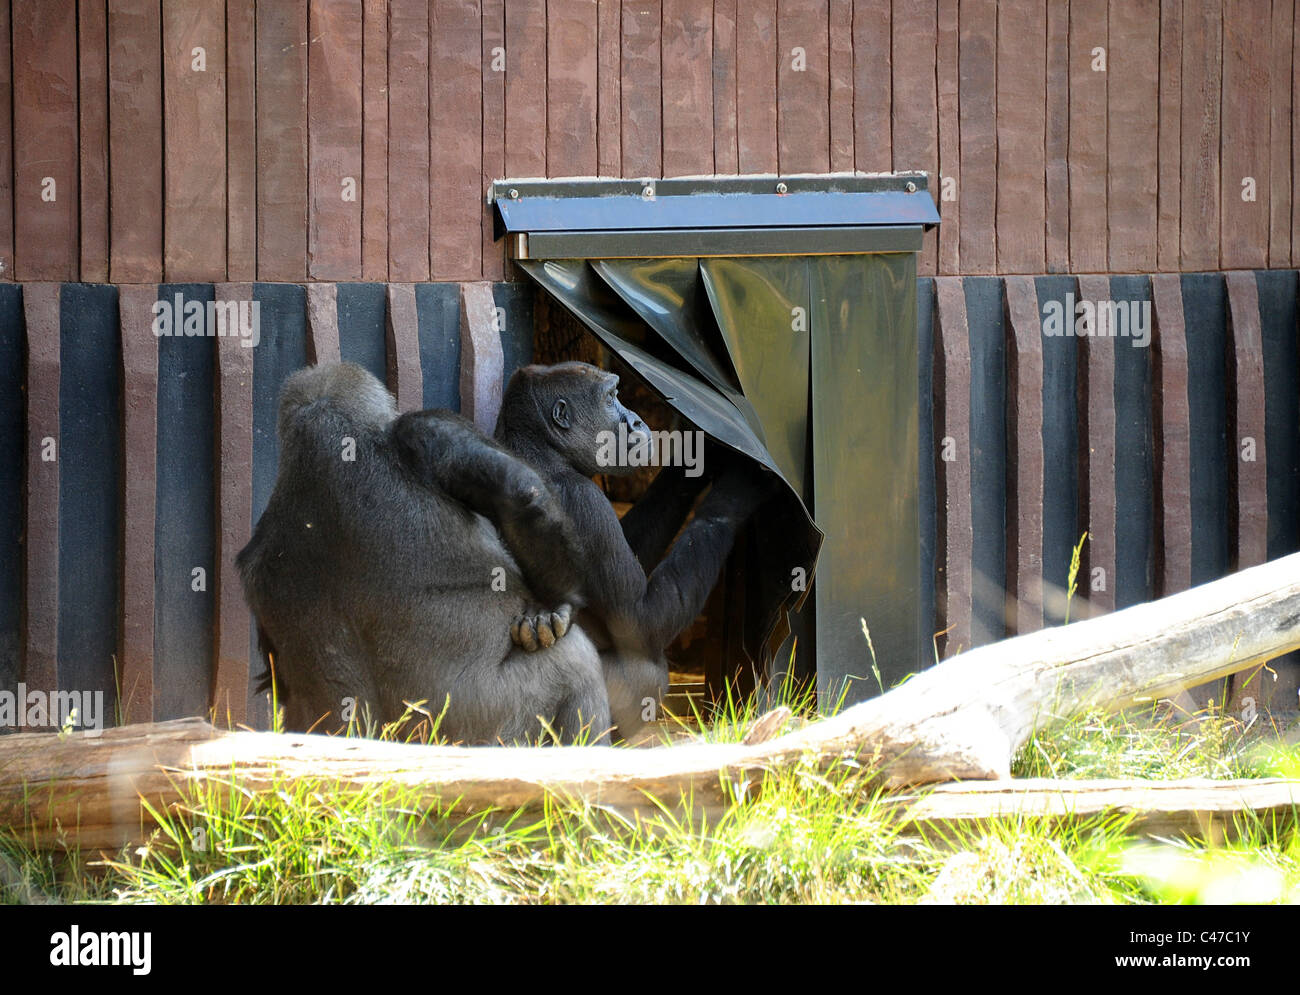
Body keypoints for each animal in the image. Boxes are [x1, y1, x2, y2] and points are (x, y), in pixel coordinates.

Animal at [239, 361, 764, 743]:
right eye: (612, 396)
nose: (636, 420)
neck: (542, 449)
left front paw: (698, 462)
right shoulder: (584, 500)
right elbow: (642, 622)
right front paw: (735, 491)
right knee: (621, 665)